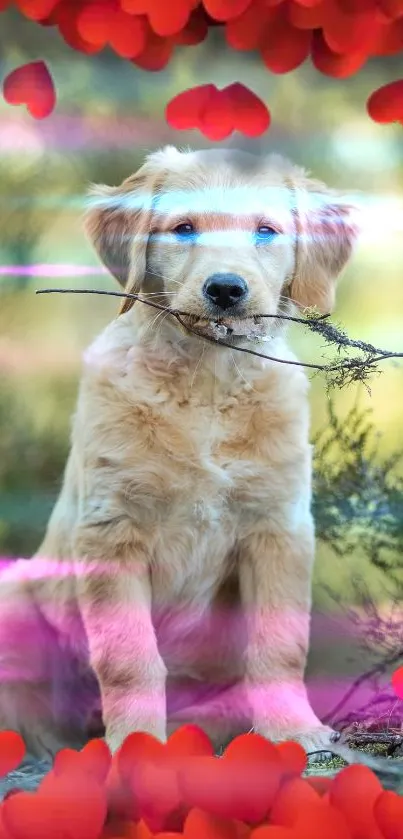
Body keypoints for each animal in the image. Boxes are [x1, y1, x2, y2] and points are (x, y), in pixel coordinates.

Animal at [0, 148, 356, 756]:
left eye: (266, 231)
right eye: (184, 228)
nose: (226, 289)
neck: (208, 380)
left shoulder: (278, 528)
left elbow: (280, 644)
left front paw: (294, 730)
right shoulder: (111, 531)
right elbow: (129, 657)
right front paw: (136, 745)